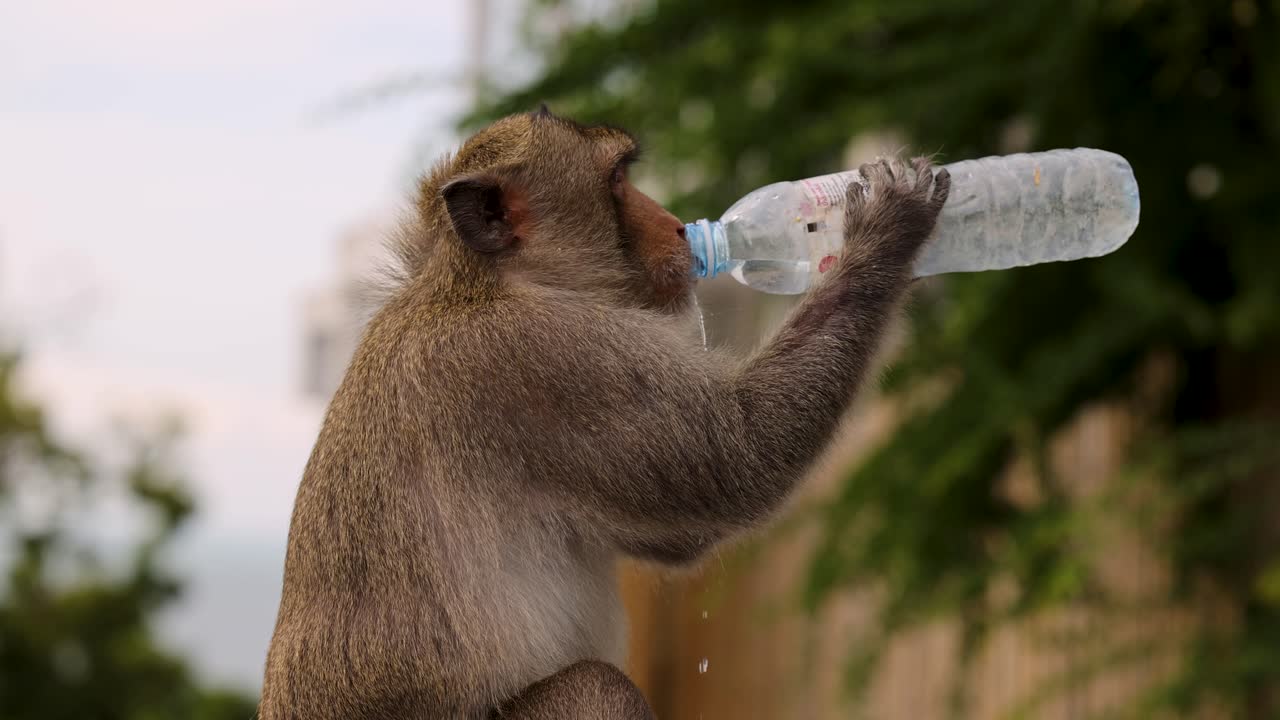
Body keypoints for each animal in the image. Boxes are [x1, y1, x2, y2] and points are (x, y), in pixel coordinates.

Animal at [259, 106, 949, 720]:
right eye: (618, 180)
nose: (676, 225)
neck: (481, 281)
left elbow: (677, 533)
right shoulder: (550, 361)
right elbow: (740, 461)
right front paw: (886, 233)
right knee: (596, 689)